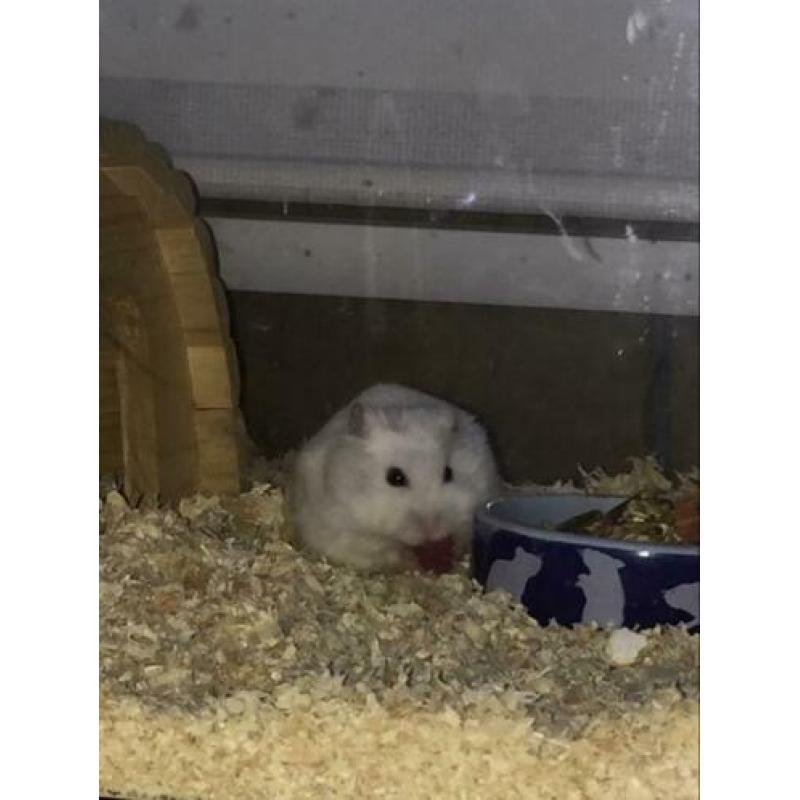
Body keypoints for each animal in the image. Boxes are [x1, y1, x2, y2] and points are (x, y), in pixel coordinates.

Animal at [290, 384, 500, 573]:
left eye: (448, 473)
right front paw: (410, 558)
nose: (432, 531)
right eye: (395, 477)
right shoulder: (352, 532)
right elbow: (387, 550)